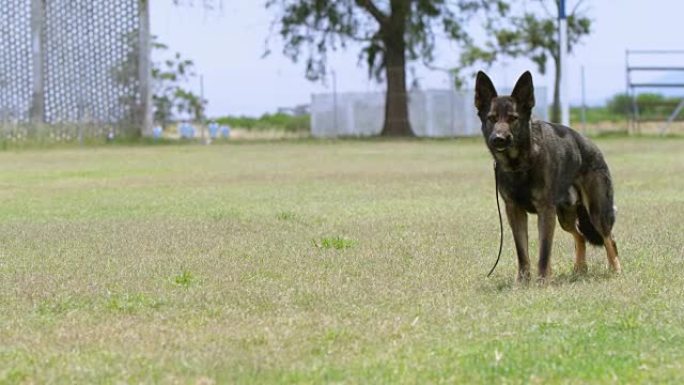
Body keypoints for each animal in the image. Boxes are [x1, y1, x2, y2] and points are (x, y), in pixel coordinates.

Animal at [472, 70, 624, 280]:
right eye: (492, 118)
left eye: (513, 118)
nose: (498, 139)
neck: (520, 163)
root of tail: (592, 147)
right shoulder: (514, 211)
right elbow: (522, 252)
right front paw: (523, 281)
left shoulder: (545, 210)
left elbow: (544, 251)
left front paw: (543, 280)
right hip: (565, 217)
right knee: (580, 236)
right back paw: (580, 269)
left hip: (597, 213)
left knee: (609, 238)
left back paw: (615, 269)